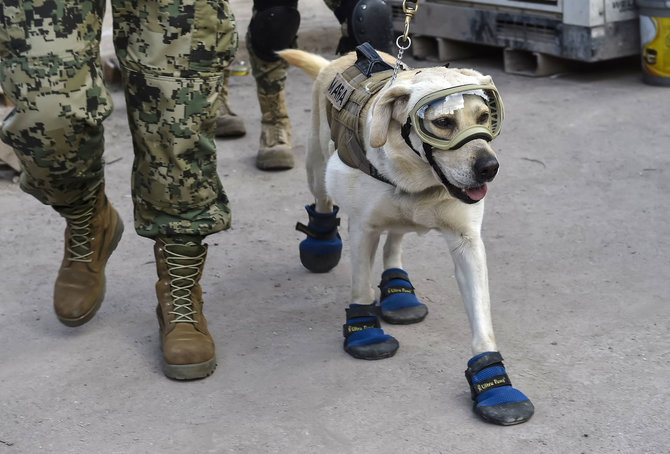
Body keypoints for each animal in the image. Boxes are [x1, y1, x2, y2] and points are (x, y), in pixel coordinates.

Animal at [284, 46, 536, 426]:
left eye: (484, 115)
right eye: (443, 123)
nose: (489, 168)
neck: (420, 180)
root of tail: (338, 59)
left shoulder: (467, 244)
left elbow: (482, 322)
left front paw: (495, 384)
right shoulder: (363, 228)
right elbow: (360, 288)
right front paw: (364, 332)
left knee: (395, 240)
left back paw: (398, 290)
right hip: (316, 168)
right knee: (324, 201)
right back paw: (321, 243)